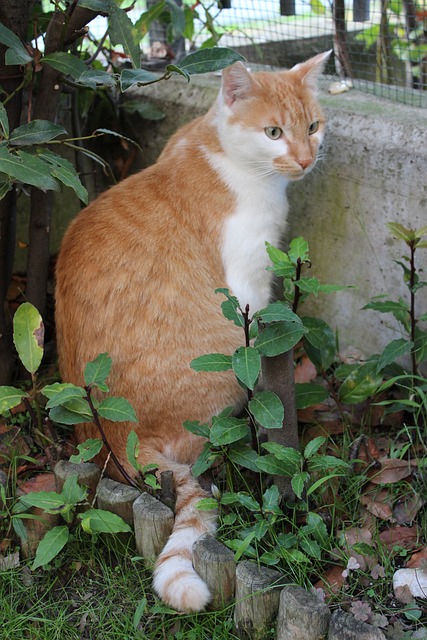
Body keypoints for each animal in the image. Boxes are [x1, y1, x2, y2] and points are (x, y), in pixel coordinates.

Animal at [55, 52, 332, 612]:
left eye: (312, 126)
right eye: (274, 132)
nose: (305, 157)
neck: (224, 153)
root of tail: (107, 433)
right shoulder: (249, 290)